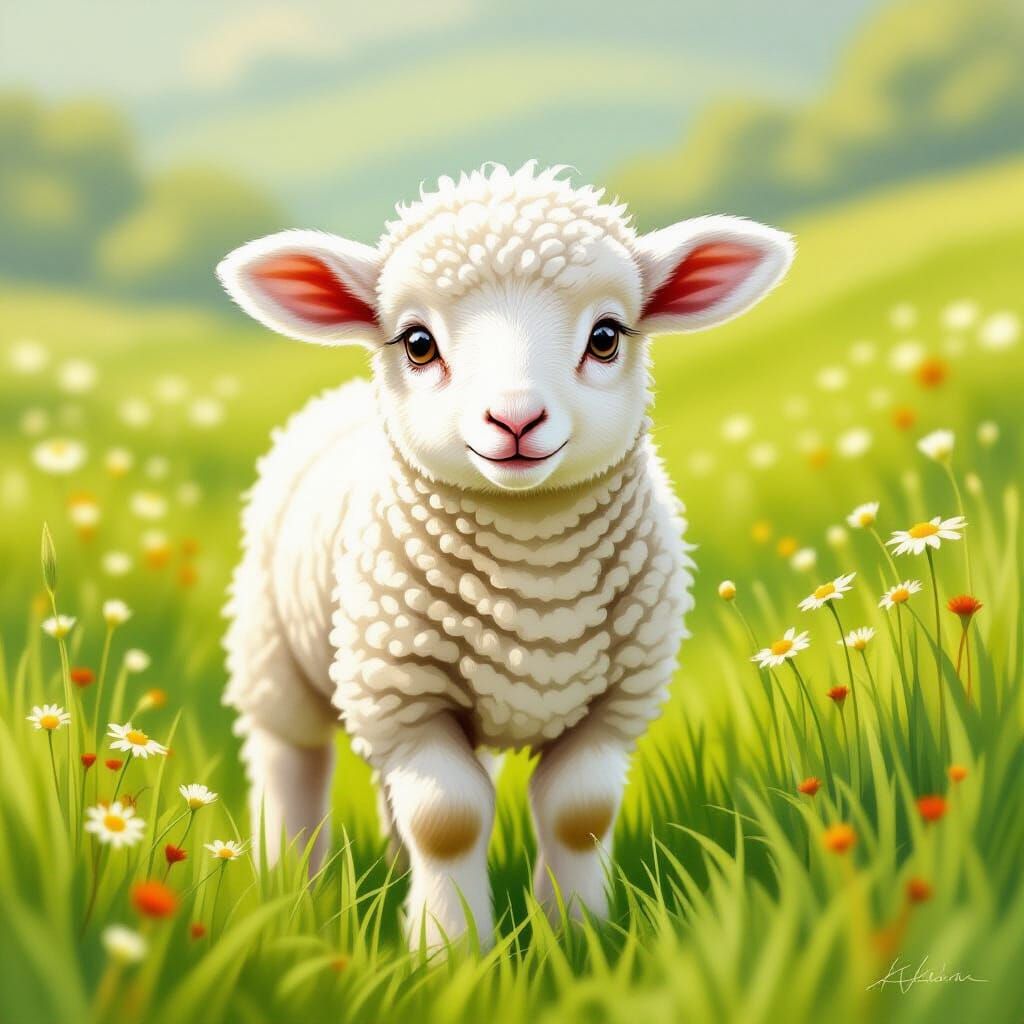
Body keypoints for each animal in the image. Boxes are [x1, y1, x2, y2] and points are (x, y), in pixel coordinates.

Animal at [217, 161, 794, 948]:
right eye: (417, 343)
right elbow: (449, 820)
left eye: (606, 336)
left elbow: (579, 815)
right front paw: (448, 950)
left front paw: (578, 936)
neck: (534, 571)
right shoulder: (407, 694)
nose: (515, 419)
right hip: (279, 656)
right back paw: (289, 890)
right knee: (290, 761)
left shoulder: (615, 703)